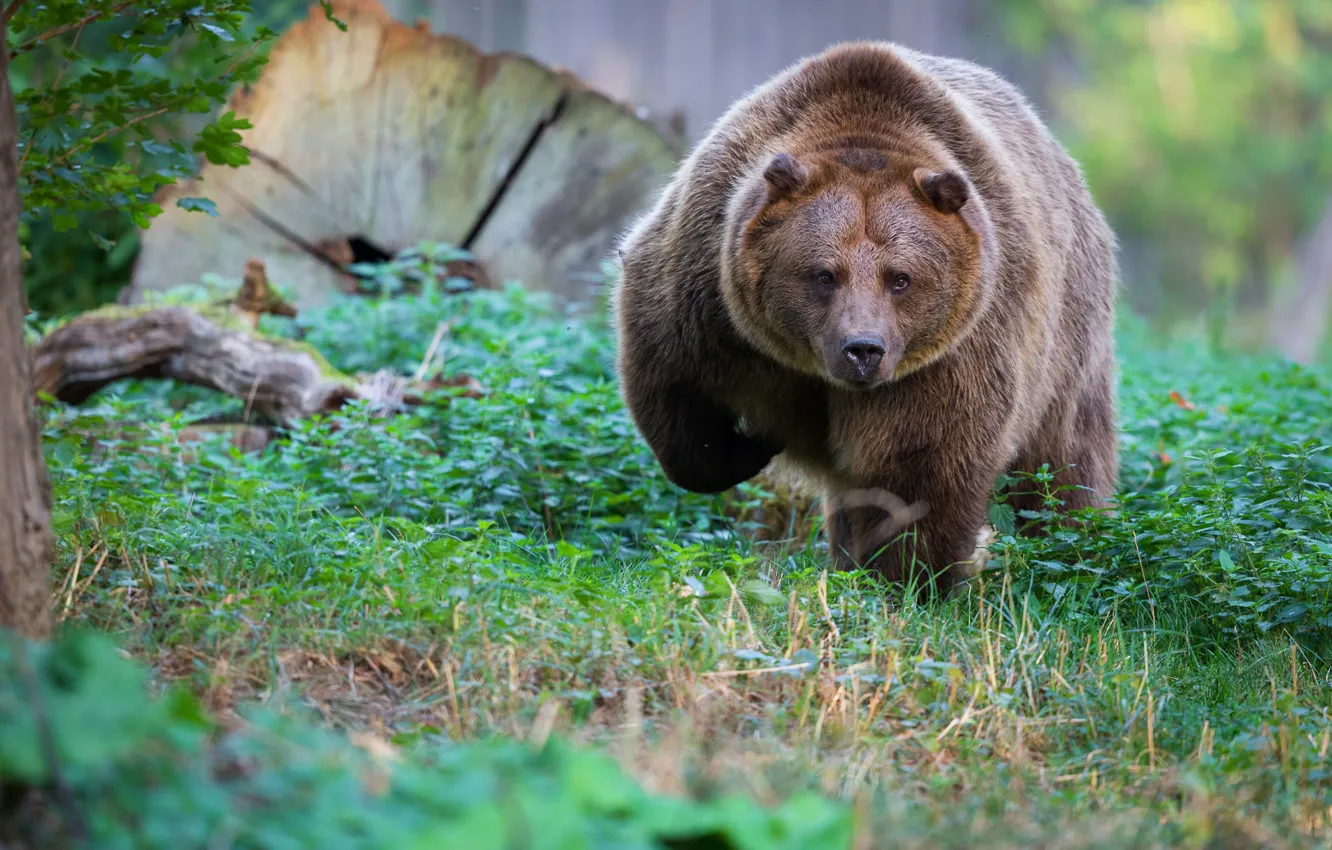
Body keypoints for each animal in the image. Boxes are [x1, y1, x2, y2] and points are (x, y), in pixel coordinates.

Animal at [610, 41, 1118, 599]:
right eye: (823, 274)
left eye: (901, 278)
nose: (862, 349)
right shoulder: (707, 298)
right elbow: (677, 397)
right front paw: (754, 444)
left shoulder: (952, 349)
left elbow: (919, 466)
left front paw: (908, 579)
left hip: (1068, 335)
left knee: (1062, 465)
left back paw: (1072, 551)